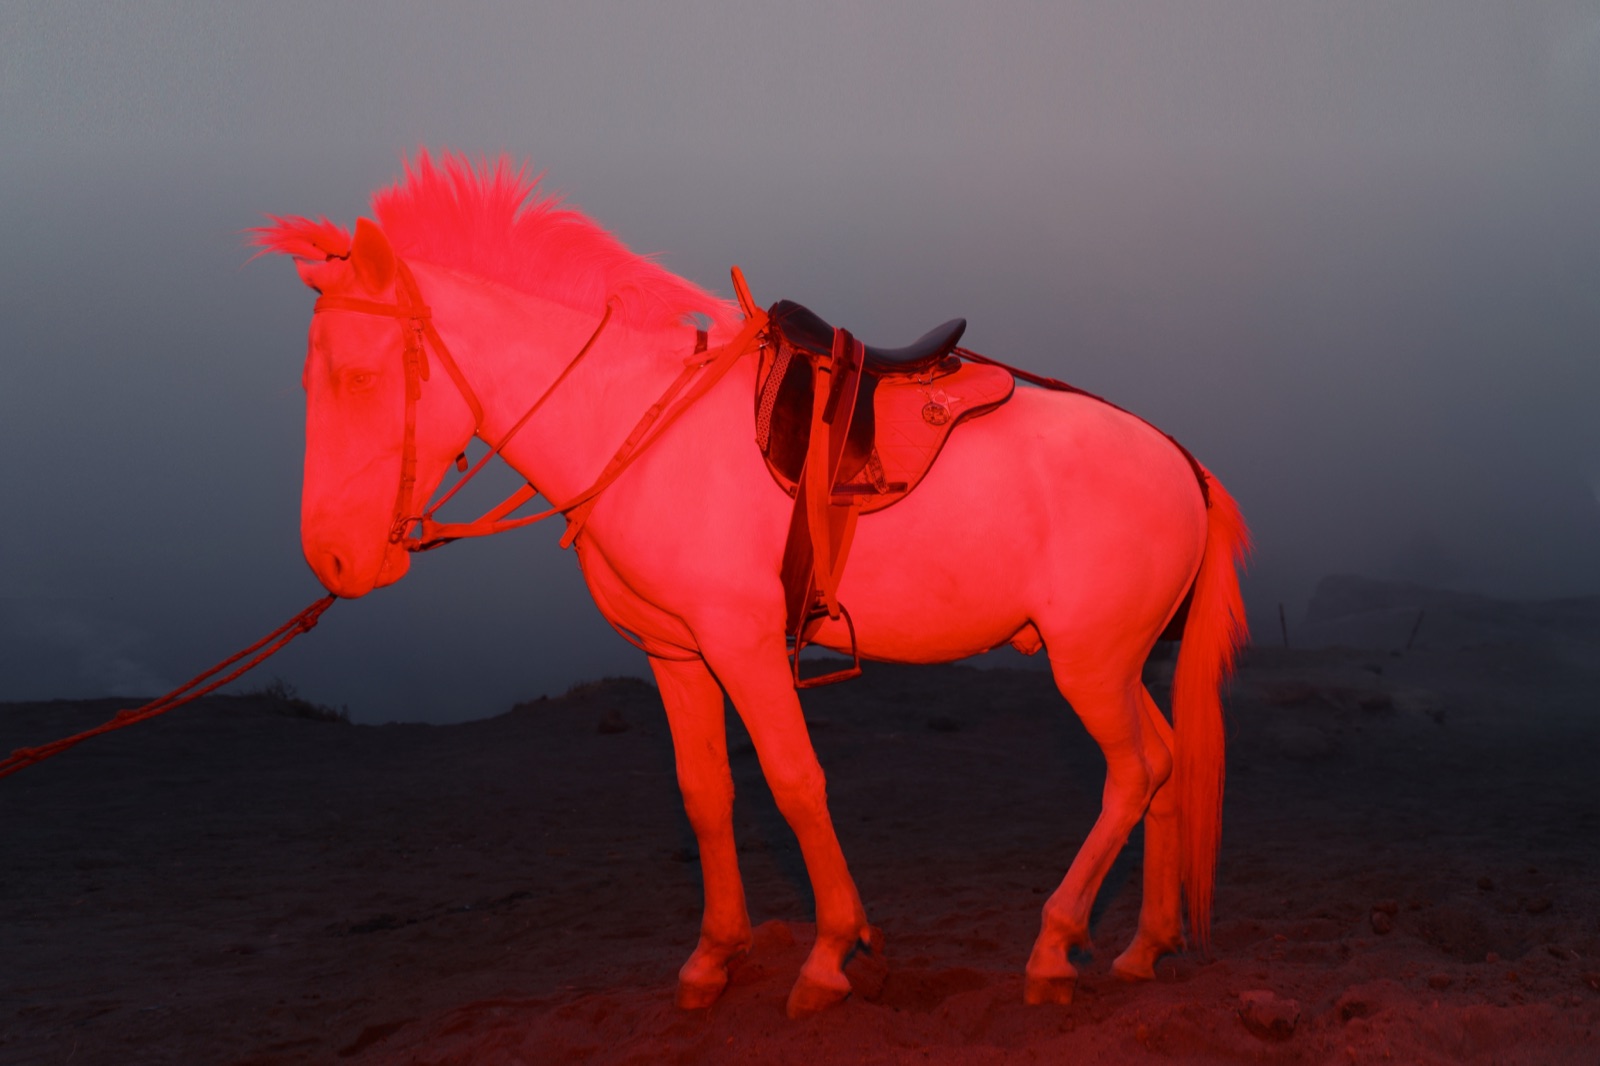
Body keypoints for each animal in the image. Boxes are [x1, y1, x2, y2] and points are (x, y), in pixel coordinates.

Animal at [254, 150, 1250, 1018]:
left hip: (1088, 666)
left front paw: (830, 955)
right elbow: (706, 795)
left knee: (1134, 773)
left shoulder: (745, 645)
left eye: (358, 377)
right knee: (1164, 767)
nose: (332, 562)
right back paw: (1143, 945)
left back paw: (1053, 947)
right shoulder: (677, 653)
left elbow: (795, 782)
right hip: (1113, 663)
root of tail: (1182, 461)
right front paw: (713, 958)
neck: (635, 419)